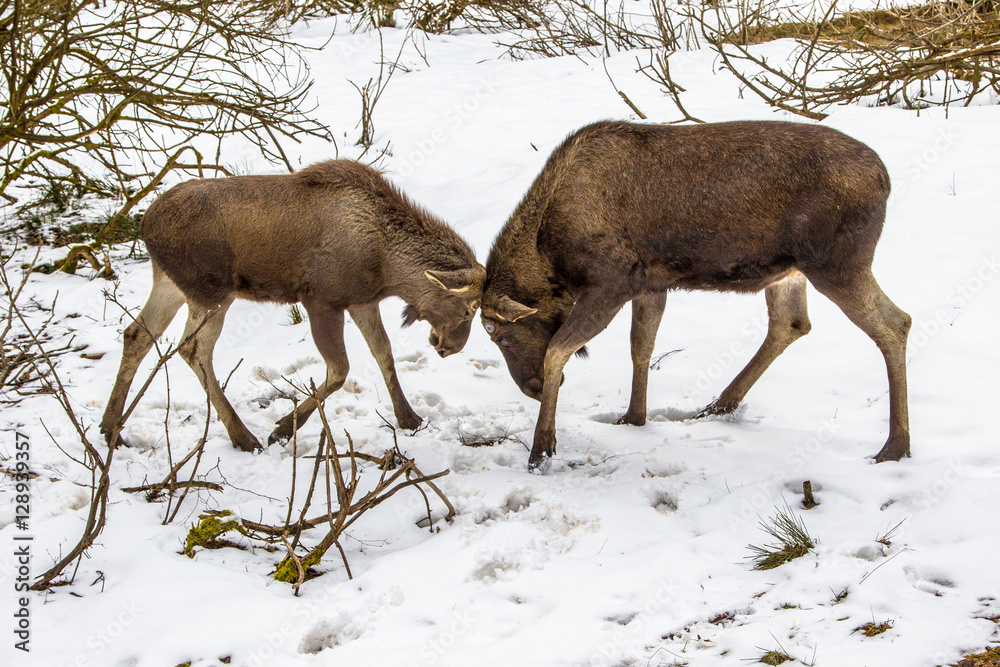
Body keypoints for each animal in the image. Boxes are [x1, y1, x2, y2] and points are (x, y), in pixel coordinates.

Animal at [101, 159, 485, 452]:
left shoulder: (361, 300)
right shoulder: (320, 299)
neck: (388, 267)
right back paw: (244, 436)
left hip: (171, 284)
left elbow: (383, 353)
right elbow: (339, 370)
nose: (450, 347)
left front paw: (409, 418)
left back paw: (111, 430)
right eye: (469, 309)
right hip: (211, 291)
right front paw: (283, 429)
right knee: (193, 348)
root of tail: (145, 225)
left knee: (137, 334)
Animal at [481, 120, 911, 470]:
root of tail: (886, 179)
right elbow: (641, 346)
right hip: (792, 272)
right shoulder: (651, 283)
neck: (549, 254)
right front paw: (633, 417)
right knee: (791, 323)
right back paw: (719, 404)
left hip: (836, 262)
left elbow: (557, 349)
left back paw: (895, 446)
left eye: (497, 332)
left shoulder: (610, 282)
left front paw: (542, 449)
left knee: (895, 322)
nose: (532, 387)